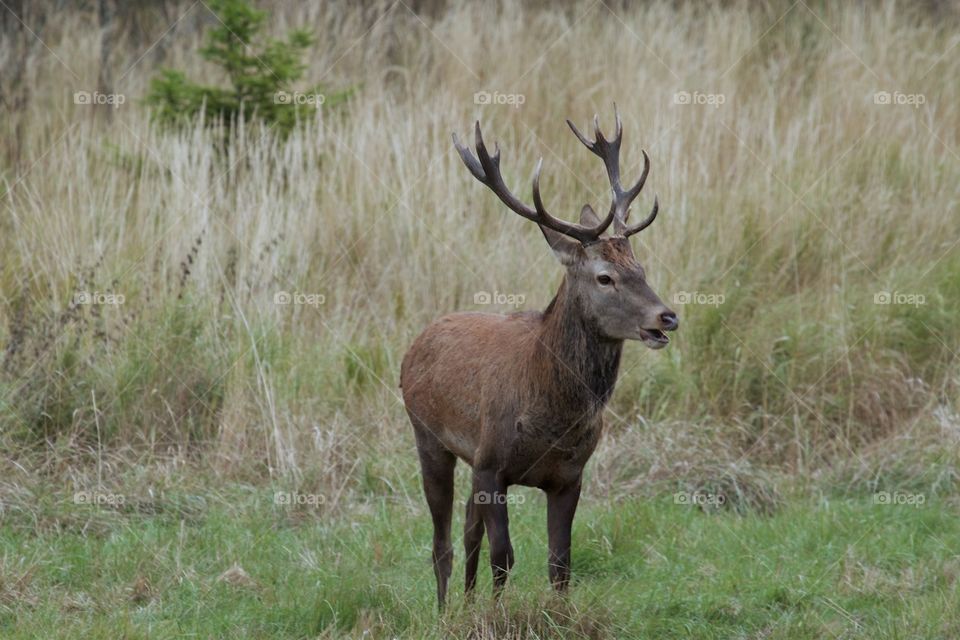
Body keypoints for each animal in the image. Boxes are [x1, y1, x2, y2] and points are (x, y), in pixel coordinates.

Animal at [400, 107, 678, 609]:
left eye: (641, 269)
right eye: (604, 277)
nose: (666, 316)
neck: (551, 418)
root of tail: (415, 343)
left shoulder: (569, 475)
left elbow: (560, 562)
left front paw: (552, 614)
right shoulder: (493, 463)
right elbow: (504, 556)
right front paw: (495, 615)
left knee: (467, 529)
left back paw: (464, 604)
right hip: (428, 434)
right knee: (441, 541)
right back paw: (446, 611)